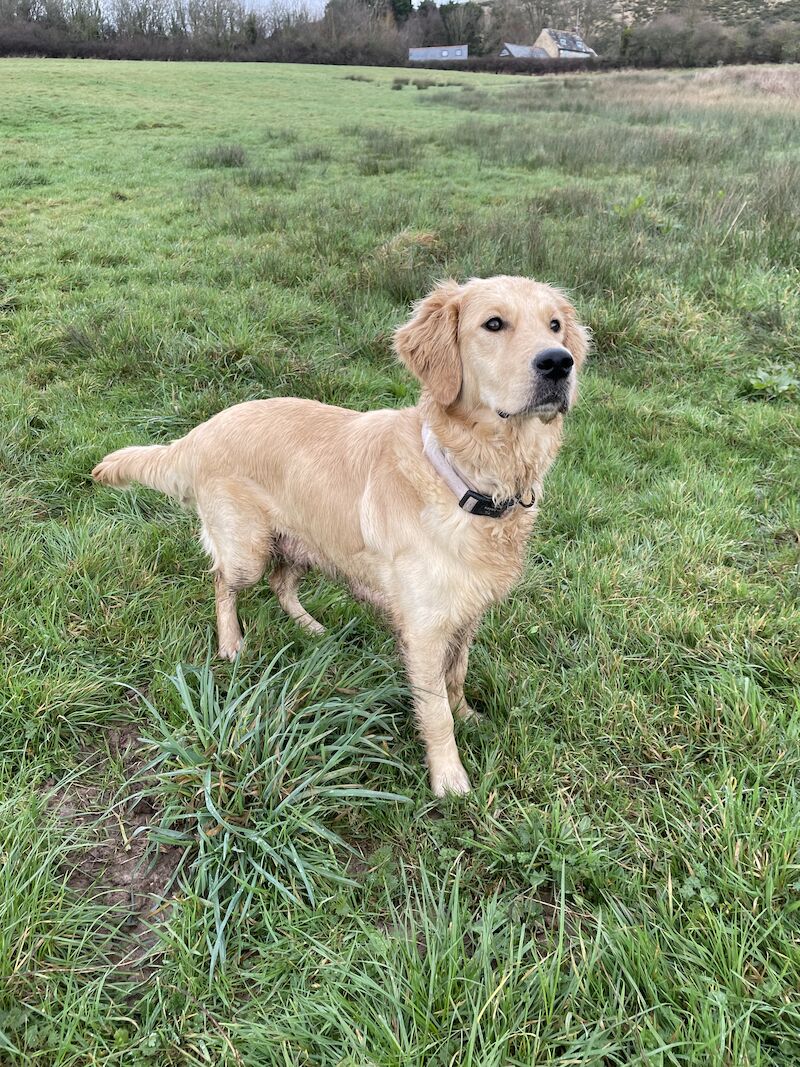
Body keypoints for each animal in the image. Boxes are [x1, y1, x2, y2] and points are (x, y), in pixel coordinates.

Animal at [95, 275, 597, 793]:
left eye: (554, 325)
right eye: (493, 324)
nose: (558, 362)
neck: (466, 478)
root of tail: (200, 430)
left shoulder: (466, 612)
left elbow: (456, 678)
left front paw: (469, 716)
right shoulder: (424, 629)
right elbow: (435, 709)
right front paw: (449, 778)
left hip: (303, 543)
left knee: (281, 583)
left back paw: (310, 627)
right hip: (247, 547)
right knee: (222, 582)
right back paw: (231, 645)